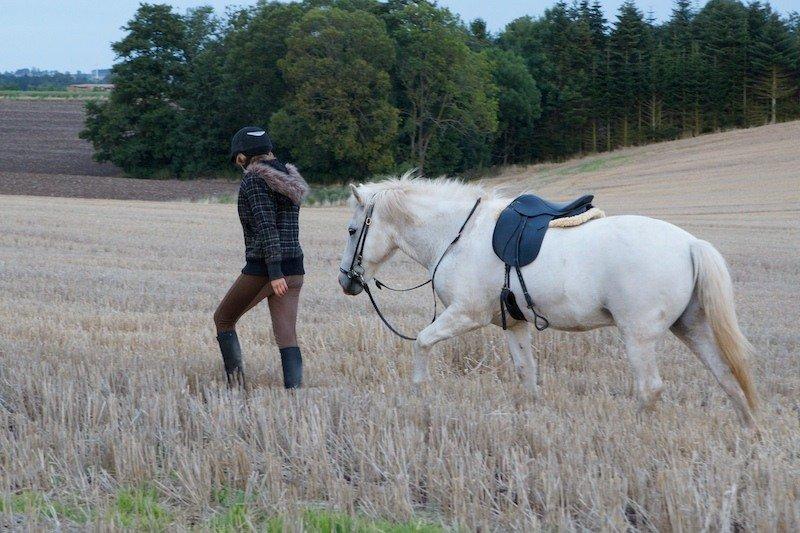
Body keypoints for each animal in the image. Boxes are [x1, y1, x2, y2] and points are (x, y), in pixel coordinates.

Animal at [336, 177, 756, 426]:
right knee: (727, 376)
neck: (458, 234)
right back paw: (749, 432)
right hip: (691, 327)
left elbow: (422, 342)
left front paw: (418, 392)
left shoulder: (465, 315)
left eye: (353, 230)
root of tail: (690, 244)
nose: (345, 281)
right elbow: (527, 373)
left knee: (650, 388)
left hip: (639, 336)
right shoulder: (515, 324)